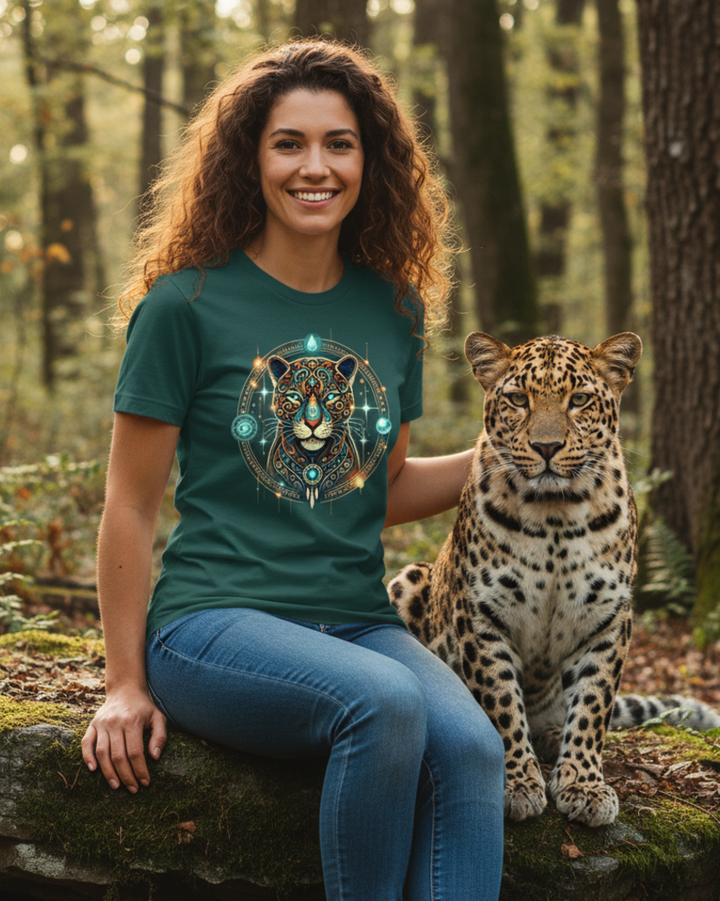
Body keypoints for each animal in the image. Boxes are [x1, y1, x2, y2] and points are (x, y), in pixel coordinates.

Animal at [388, 331, 720, 828]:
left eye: (579, 400)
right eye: (518, 400)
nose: (547, 447)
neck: (555, 516)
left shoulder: (608, 621)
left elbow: (593, 705)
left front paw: (583, 783)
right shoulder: (482, 616)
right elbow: (500, 702)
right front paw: (515, 783)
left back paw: (550, 739)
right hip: (409, 580)